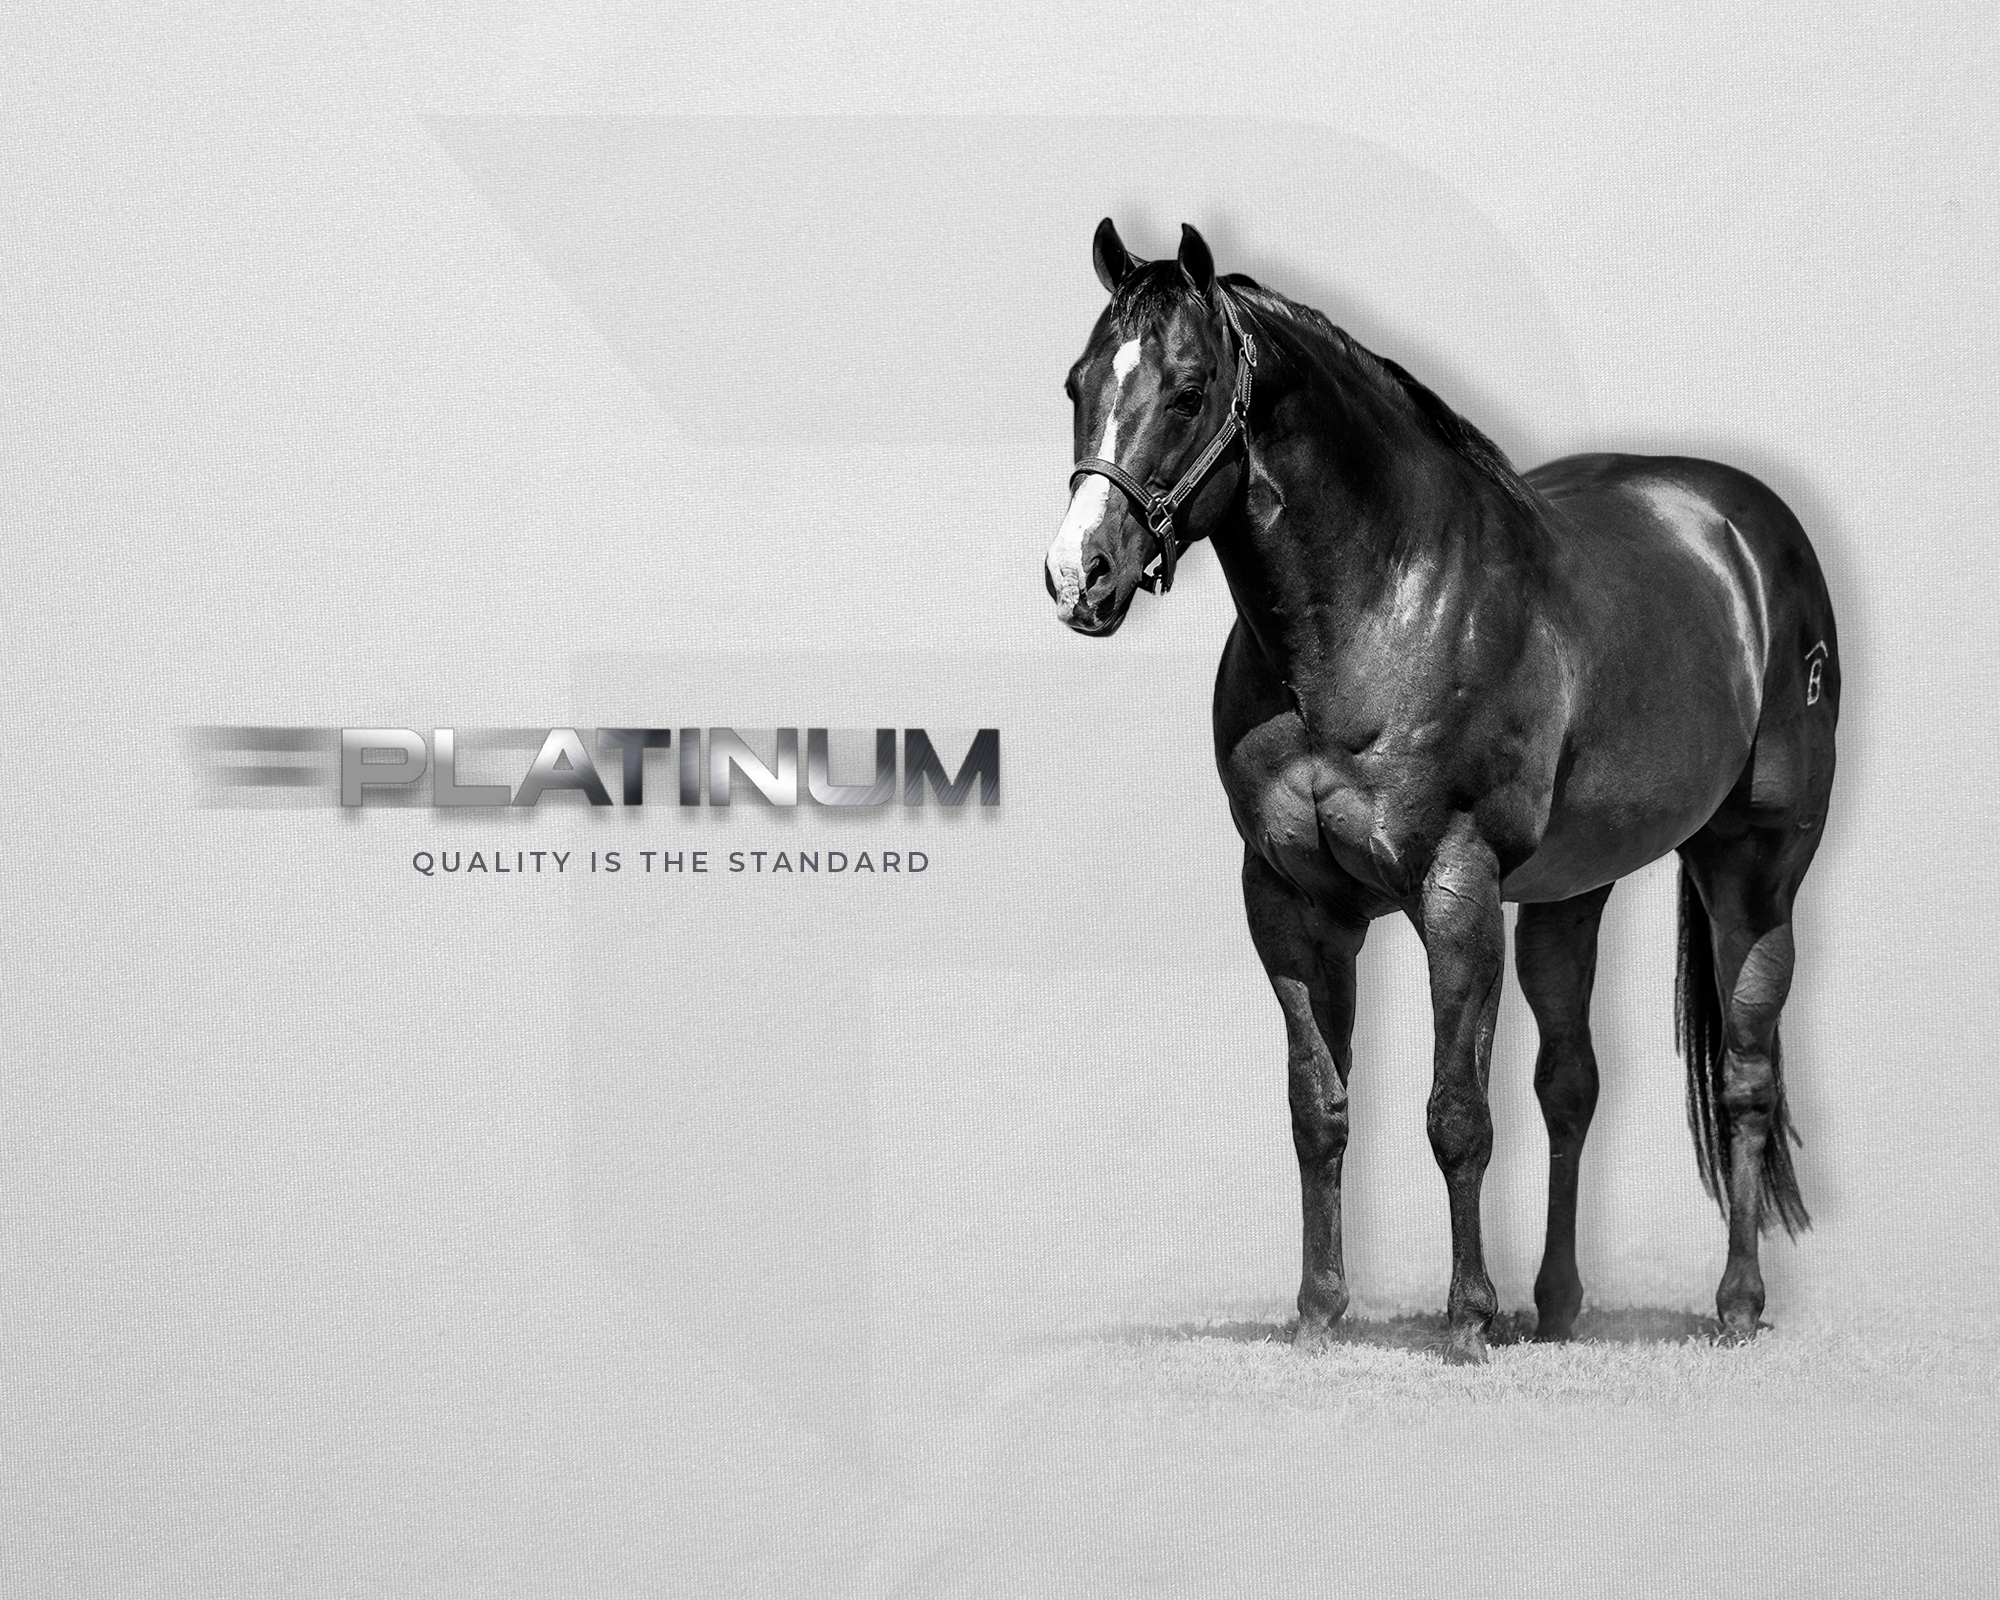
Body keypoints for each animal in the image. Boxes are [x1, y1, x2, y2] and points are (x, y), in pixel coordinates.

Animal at [1044, 220, 1839, 1364]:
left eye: (1189, 391)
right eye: (1077, 381)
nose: (1080, 577)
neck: (1380, 611)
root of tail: (1746, 529)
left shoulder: (1455, 890)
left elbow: (1455, 1112)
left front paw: (1465, 1319)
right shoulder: (1289, 904)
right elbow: (1318, 1107)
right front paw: (1319, 1313)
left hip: (1757, 868)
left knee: (1743, 1073)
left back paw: (1734, 1304)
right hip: (1569, 895)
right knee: (1571, 1084)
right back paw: (1555, 1306)